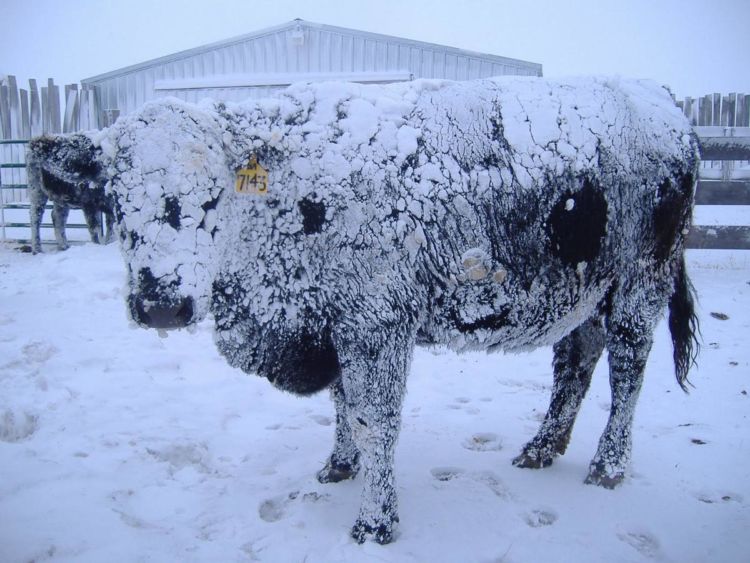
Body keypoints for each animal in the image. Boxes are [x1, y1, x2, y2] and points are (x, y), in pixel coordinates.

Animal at [45, 77, 704, 544]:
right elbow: (344, 404)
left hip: (639, 286)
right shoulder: (336, 325)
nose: (161, 303)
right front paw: (339, 465)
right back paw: (541, 448)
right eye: (116, 202)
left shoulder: (378, 324)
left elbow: (376, 419)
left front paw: (374, 521)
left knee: (627, 372)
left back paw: (608, 466)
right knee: (574, 364)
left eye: (211, 200)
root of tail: (661, 101)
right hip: (587, 295)